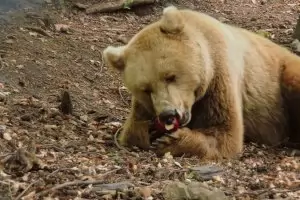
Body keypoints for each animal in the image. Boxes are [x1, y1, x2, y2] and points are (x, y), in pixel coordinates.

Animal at [103, 5, 300, 160]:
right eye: (145, 89)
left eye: (170, 76)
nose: (168, 114)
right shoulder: (144, 105)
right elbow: (131, 130)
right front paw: (150, 130)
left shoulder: (220, 77)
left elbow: (225, 131)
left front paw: (171, 140)